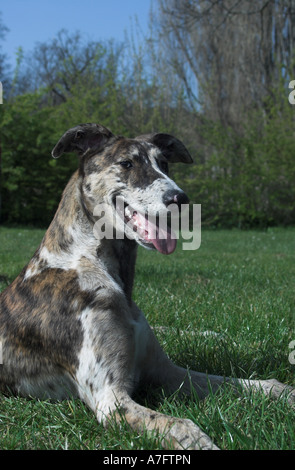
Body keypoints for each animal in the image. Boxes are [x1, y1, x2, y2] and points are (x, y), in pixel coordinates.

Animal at [0, 123, 294, 450]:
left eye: (164, 163)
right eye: (127, 163)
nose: (180, 199)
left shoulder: (166, 371)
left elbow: (247, 383)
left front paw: (284, 392)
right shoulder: (111, 399)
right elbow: (182, 425)